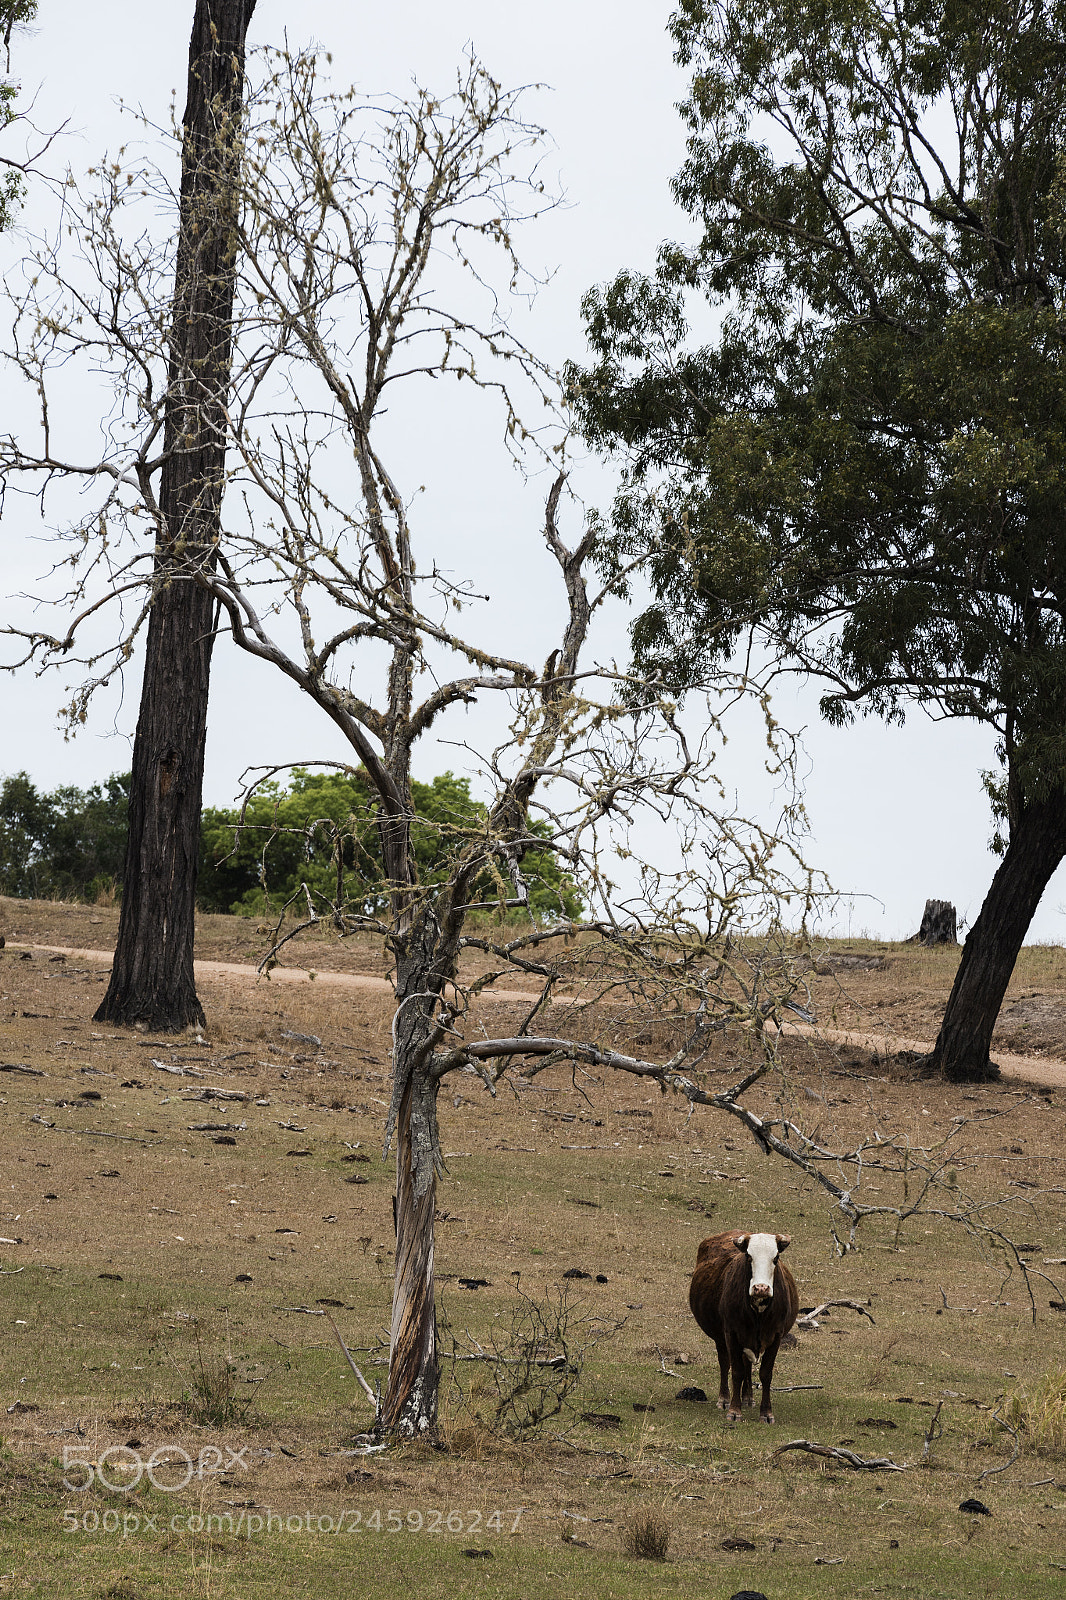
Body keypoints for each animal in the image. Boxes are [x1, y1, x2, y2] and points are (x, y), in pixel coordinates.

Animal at [688, 1230, 799, 1423]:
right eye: (748, 1256)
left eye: (776, 1257)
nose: (761, 1288)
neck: (758, 1310)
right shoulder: (731, 1334)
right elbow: (736, 1371)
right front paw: (734, 1410)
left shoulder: (776, 1336)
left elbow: (765, 1373)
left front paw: (766, 1413)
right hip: (721, 1338)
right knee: (725, 1364)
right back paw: (724, 1399)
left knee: (747, 1363)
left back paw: (748, 1398)